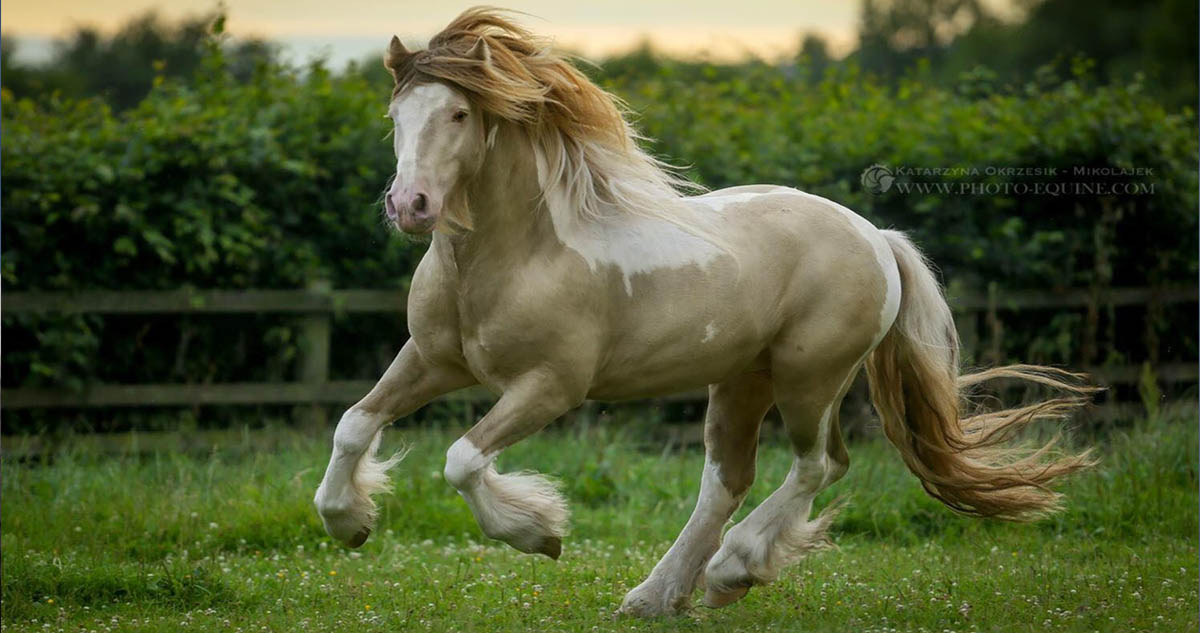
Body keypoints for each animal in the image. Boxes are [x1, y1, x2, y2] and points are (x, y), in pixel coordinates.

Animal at [312, 6, 1099, 618]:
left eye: (458, 113)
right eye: (395, 115)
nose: (410, 207)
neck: (515, 254)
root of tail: (875, 236)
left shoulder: (550, 386)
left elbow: (462, 459)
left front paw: (540, 533)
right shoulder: (432, 360)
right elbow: (353, 423)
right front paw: (349, 523)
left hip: (809, 377)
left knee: (817, 465)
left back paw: (729, 572)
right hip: (743, 379)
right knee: (728, 480)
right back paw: (656, 597)